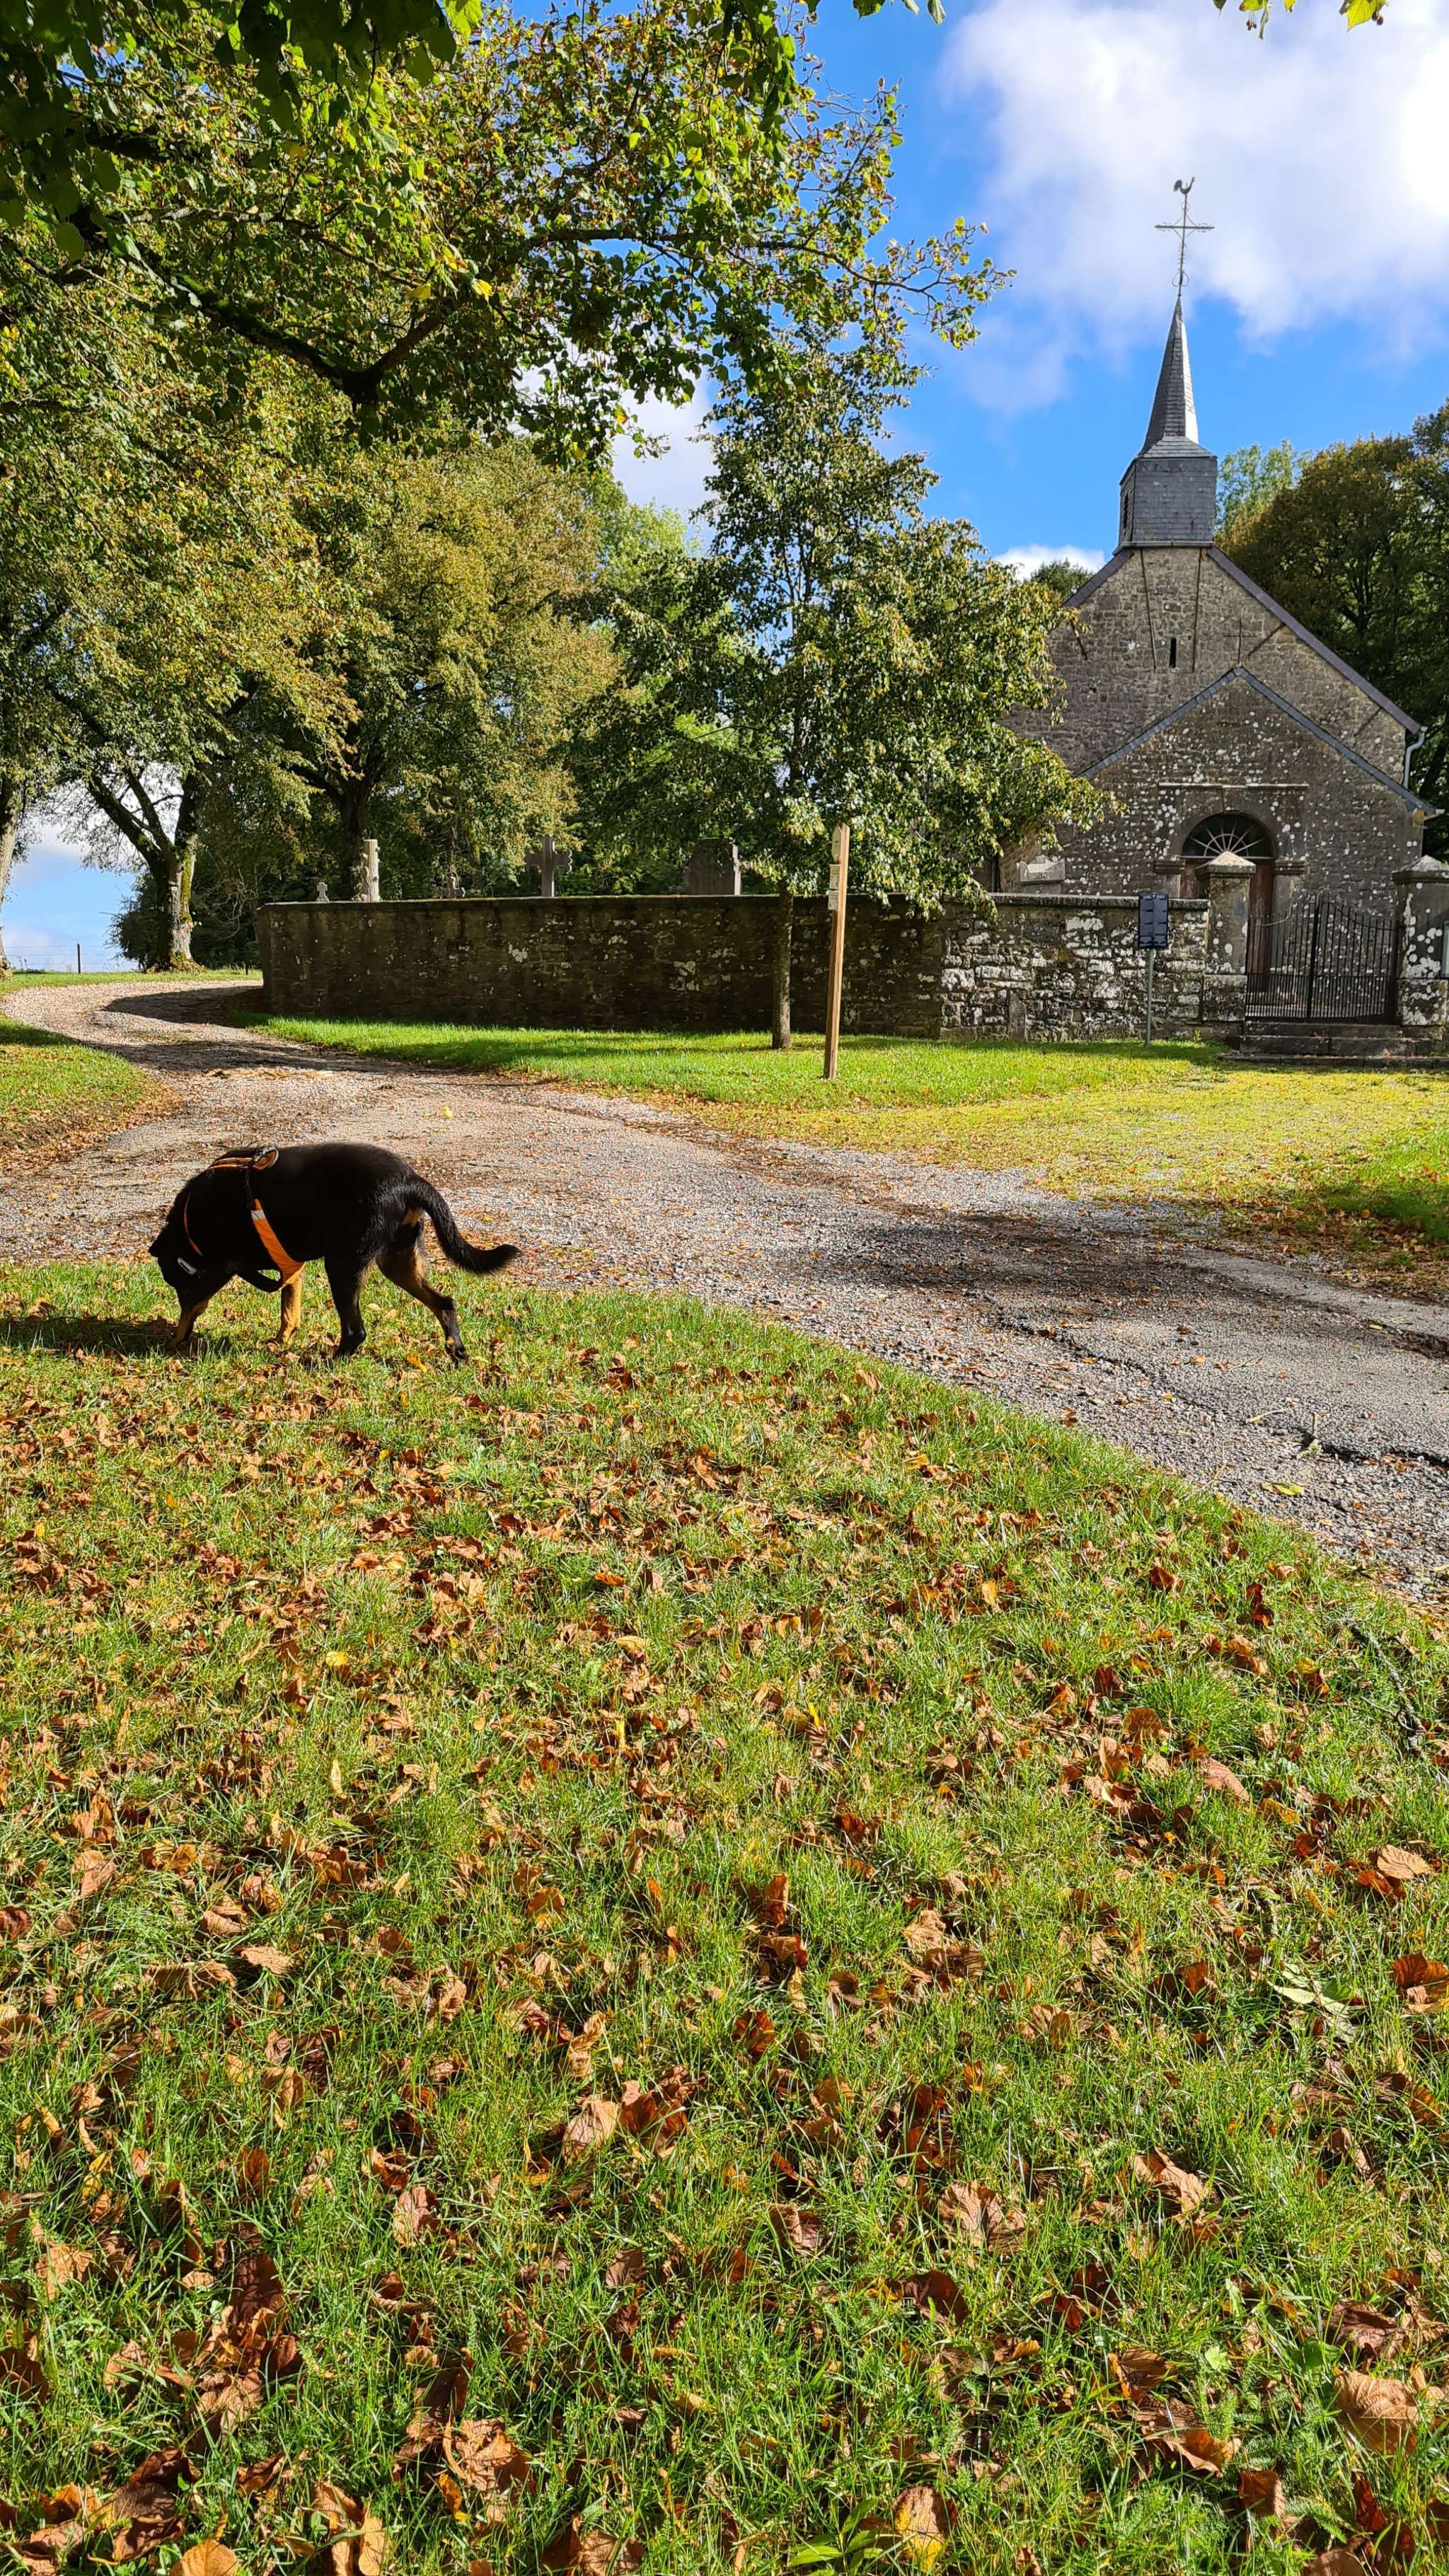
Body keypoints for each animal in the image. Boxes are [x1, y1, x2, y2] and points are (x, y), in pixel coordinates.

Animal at [150, 1142, 518, 1363]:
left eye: (172, 1279)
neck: (187, 1222)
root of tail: (411, 1181)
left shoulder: (220, 1267)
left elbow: (192, 1306)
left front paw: (175, 1340)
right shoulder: (291, 1267)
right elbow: (289, 1308)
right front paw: (282, 1339)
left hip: (341, 1265)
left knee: (356, 1331)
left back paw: (333, 1359)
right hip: (397, 1263)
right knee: (444, 1302)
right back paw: (456, 1348)